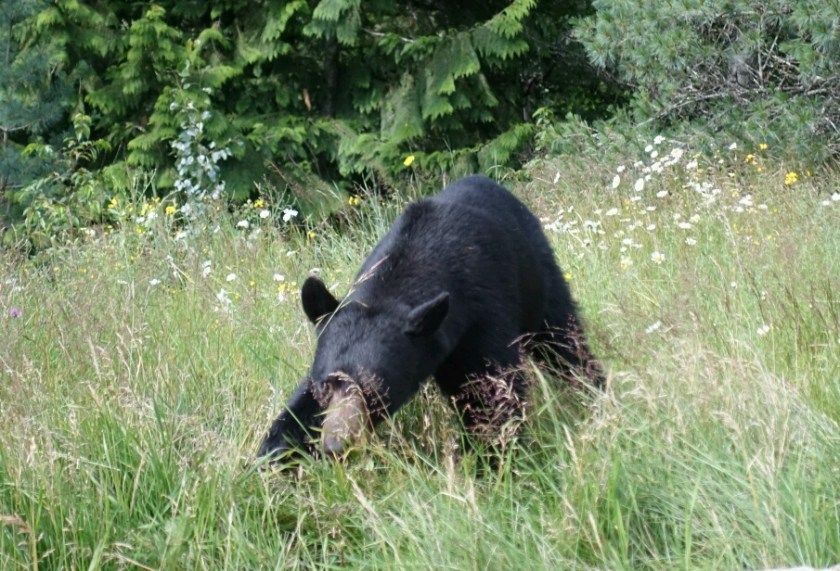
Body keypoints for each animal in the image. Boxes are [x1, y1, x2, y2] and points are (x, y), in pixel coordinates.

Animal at [258, 174, 604, 462]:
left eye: (375, 392)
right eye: (326, 385)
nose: (335, 445)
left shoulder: (479, 317)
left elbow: (491, 396)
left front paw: (493, 460)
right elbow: (300, 409)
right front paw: (275, 455)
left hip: (535, 274)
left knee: (561, 338)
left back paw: (594, 388)